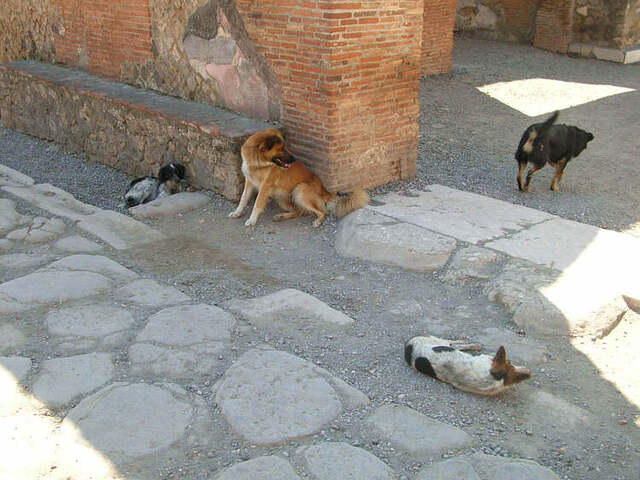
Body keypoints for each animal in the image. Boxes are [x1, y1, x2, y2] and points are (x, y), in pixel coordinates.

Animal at [230, 128, 370, 228]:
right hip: (282, 198)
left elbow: (257, 203)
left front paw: (252, 220)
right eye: (281, 149)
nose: (294, 159)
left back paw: (317, 221)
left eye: (285, 147)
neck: (258, 162)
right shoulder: (249, 181)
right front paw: (237, 212)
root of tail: (323, 189)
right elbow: (243, 199)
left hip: (300, 190)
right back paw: (281, 217)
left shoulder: (266, 186)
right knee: (300, 211)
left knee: (323, 211)